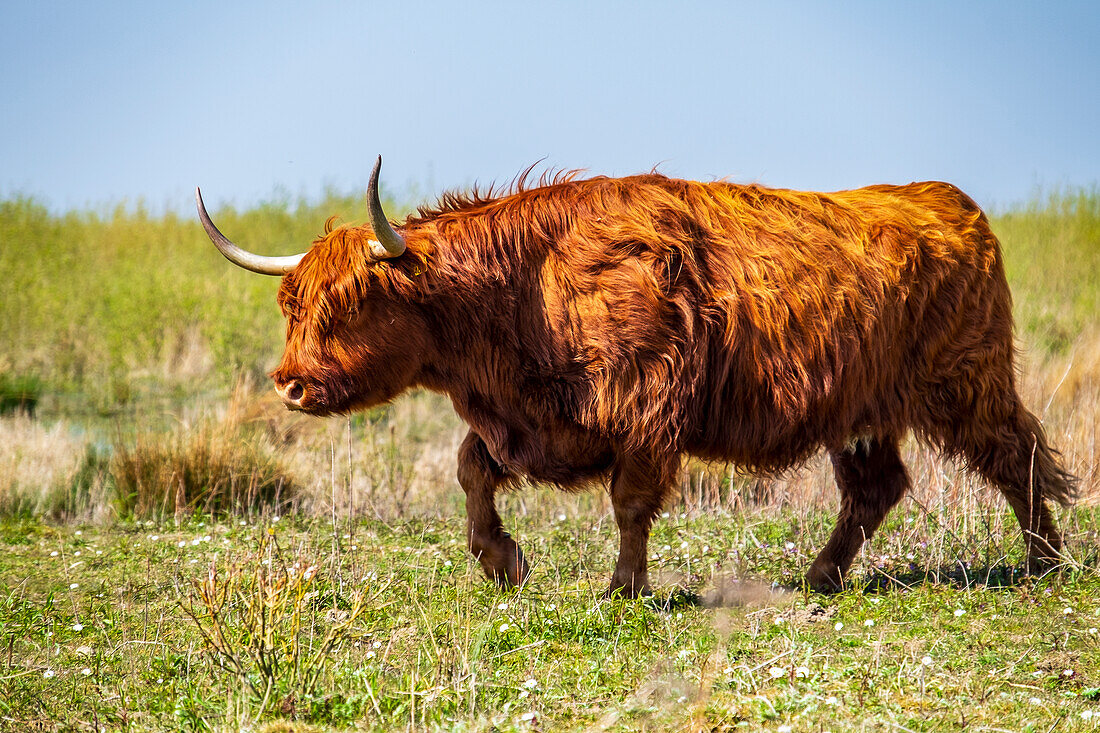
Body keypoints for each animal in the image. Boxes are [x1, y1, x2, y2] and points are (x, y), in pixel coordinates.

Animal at [195, 155, 1073, 594]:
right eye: (291, 304)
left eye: (352, 301)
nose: (289, 382)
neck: (522, 289)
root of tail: (951, 202)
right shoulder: (536, 421)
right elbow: (471, 466)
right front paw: (502, 560)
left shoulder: (647, 406)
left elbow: (630, 502)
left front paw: (622, 587)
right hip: (860, 410)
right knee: (876, 487)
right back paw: (821, 576)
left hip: (967, 383)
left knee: (1019, 457)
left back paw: (1044, 563)